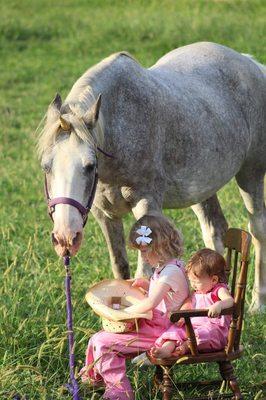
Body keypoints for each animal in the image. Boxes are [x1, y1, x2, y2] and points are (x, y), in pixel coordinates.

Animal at [38, 42, 264, 310]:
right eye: (46, 167)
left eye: (90, 166)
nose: (65, 237)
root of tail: (249, 62)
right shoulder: (104, 216)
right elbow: (120, 270)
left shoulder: (146, 206)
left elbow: (144, 276)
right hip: (202, 188)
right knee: (214, 230)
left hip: (250, 174)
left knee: (257, 228)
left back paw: (257, 304)